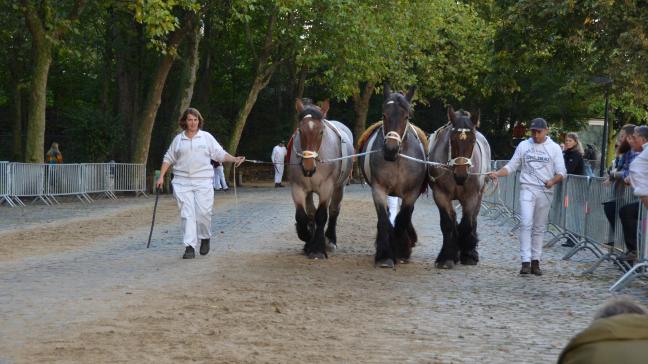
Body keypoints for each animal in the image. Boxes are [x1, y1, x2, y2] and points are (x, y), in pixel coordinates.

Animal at [288, 99, 354, 258]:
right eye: (300, 131)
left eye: (321, 132)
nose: (308, 167)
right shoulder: (298, 188)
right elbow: (302, 216)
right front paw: (306, 237)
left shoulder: (326, 188)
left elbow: (322, 215)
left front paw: (317, 248)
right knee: (311, 212)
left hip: (339, 187)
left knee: (334, 210)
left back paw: (330, 240)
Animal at [356, 84, 428, 268]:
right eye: (384, 115)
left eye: (406, 116)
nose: (390, 149)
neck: (397, 161)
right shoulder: (379, 190)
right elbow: (384, 219)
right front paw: (385, 255)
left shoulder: (411, 193)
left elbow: (403, 218)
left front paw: (401, 250)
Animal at [430, 106, 492, 268]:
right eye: (452, 140)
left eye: (473, 140)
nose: (461, 175)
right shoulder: (440, 195)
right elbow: (447, 223)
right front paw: (447, 257)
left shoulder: (471, 196)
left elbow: (466, 223)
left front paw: (468, 255)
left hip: (480, 195)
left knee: (473, 220)